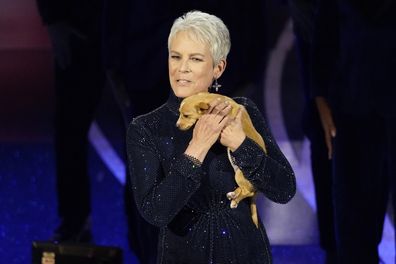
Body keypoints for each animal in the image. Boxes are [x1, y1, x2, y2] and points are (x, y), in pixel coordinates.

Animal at [176, 92, 266, 228]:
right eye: (180, 113)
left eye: (186, 115)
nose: (177, 126)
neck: (214, 99)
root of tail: (257, 190)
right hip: (238, 175)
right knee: (243, 189)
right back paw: (233, 195)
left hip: (240, 176)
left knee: (247, 192)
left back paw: (235, 201)